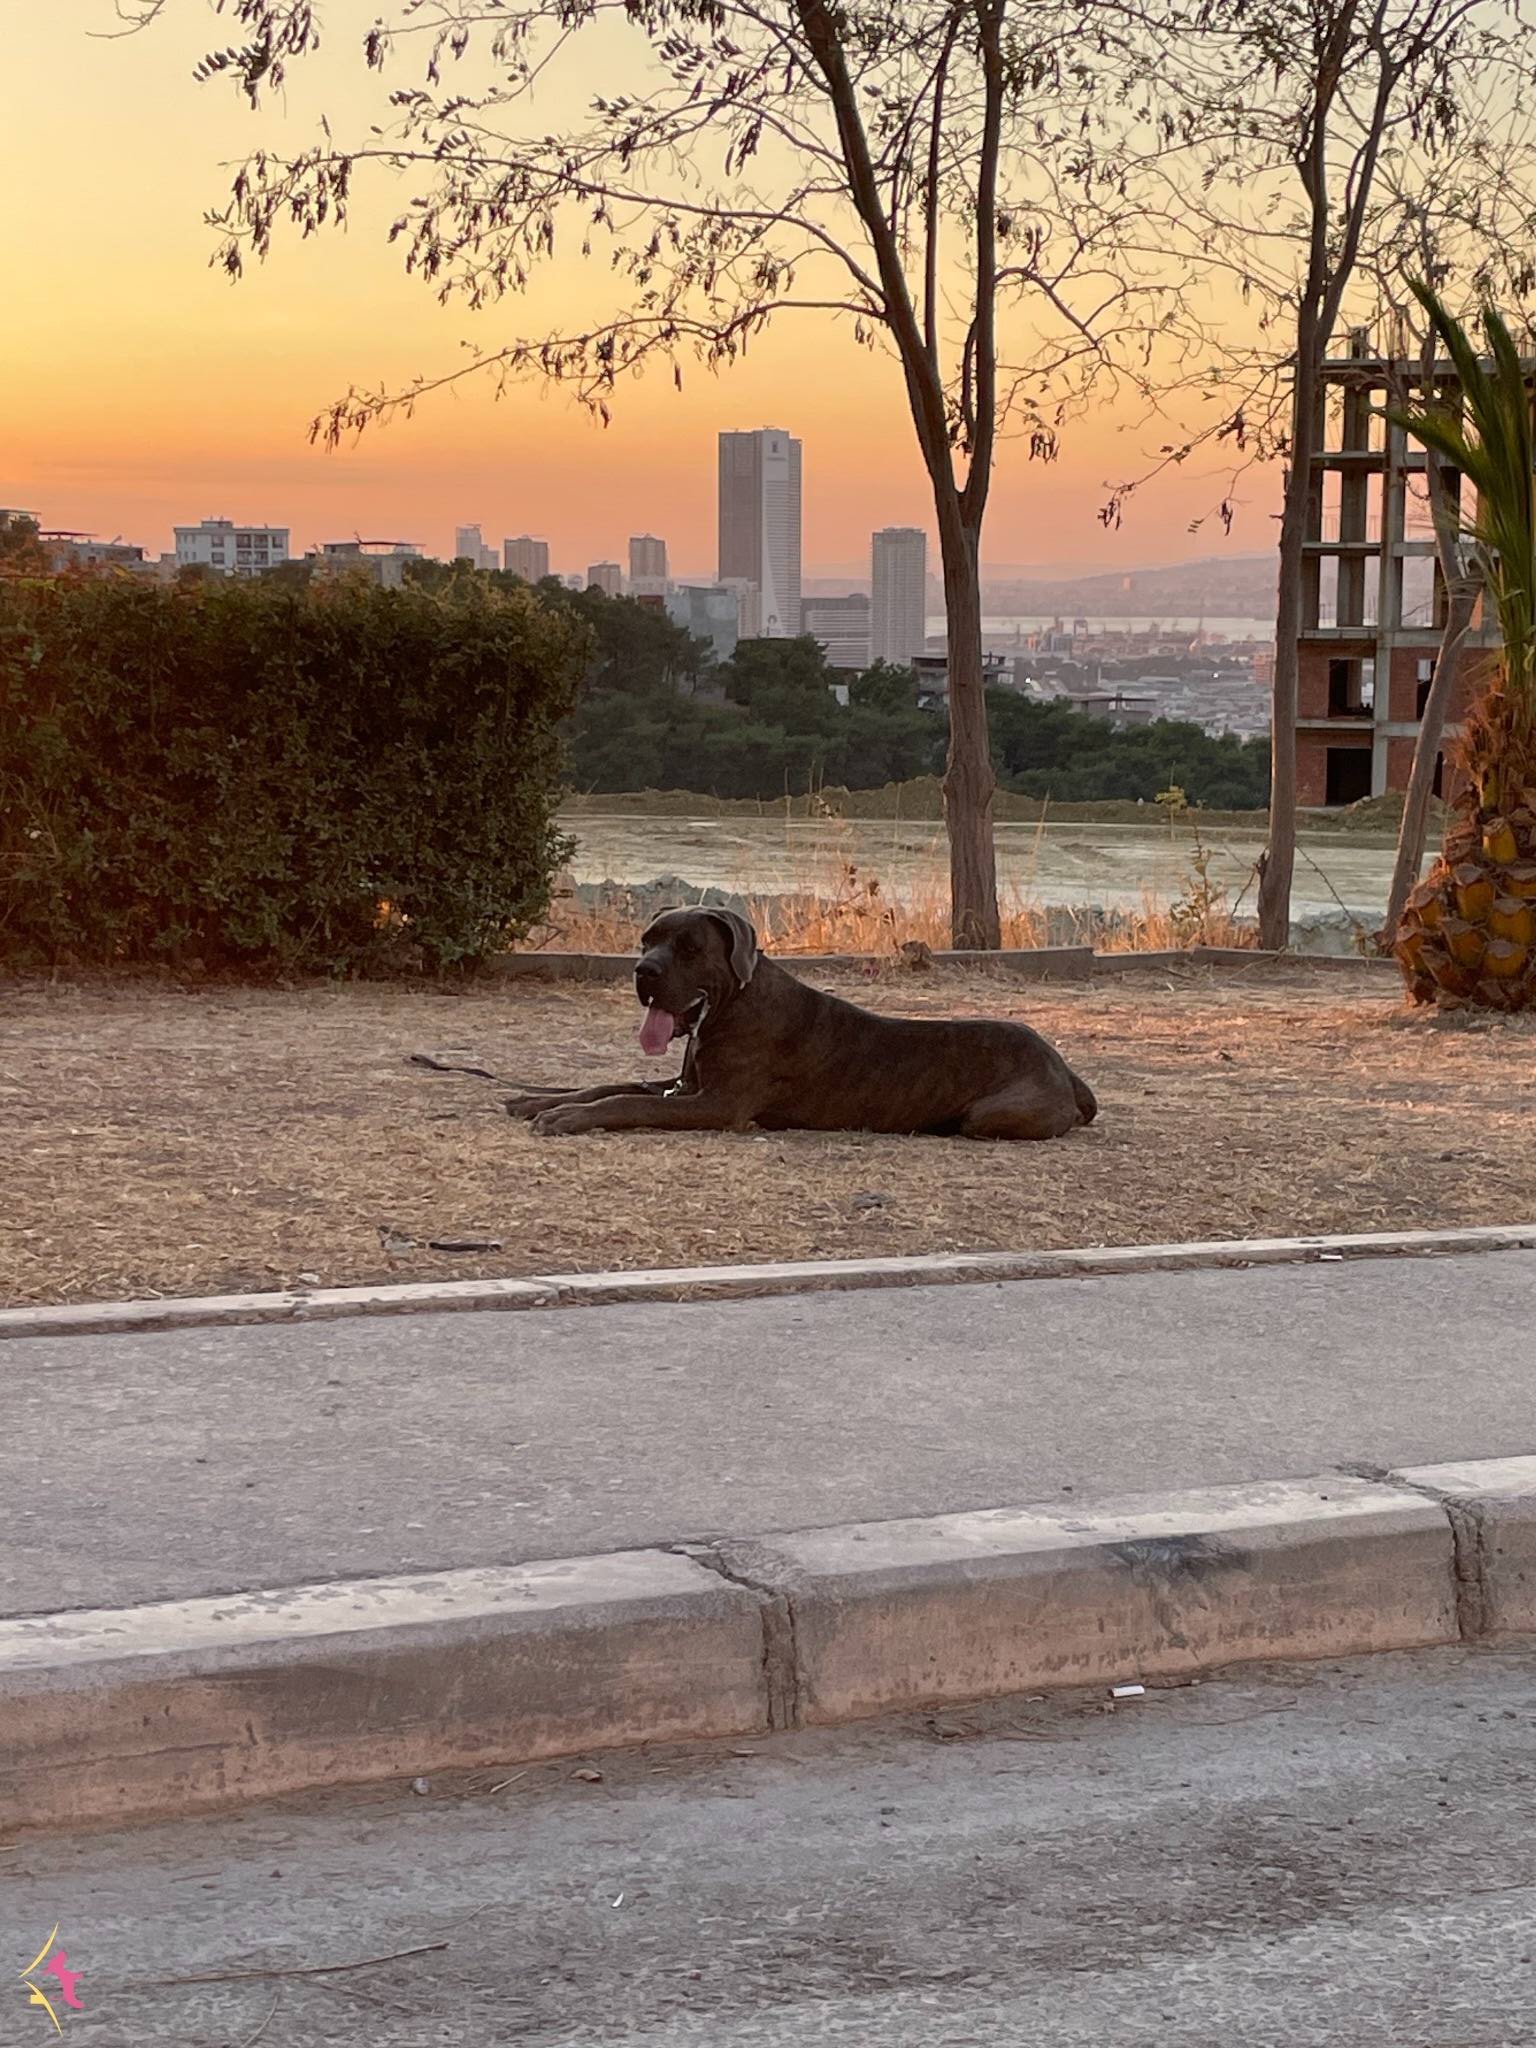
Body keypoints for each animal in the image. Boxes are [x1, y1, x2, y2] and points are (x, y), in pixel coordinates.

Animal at [505, 908, 1097, 1141]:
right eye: (647, 940)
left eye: (690, 947)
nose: (643, 971)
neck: (732, 1007)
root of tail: (1064, 1068)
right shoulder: (685, 1084)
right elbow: (612, 1084)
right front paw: (538, 1100)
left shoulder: (715, 1104)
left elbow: (629, 1102)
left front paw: (567, 1117)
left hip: (990, 1113)